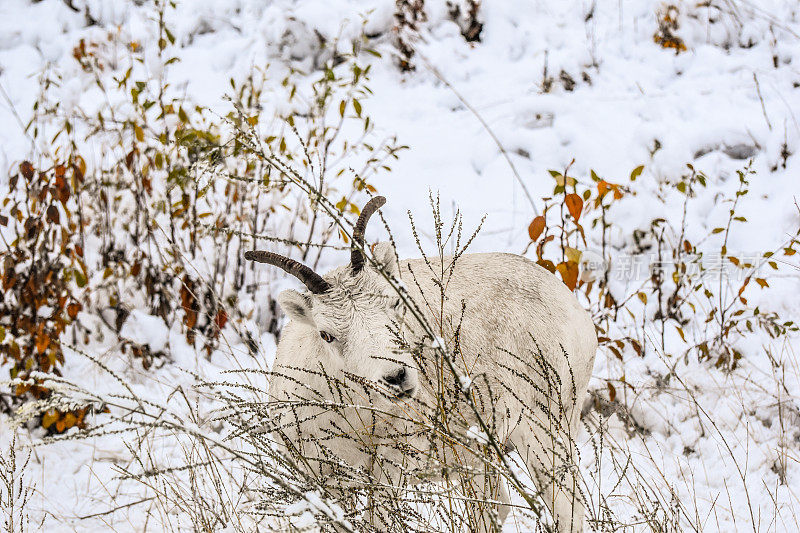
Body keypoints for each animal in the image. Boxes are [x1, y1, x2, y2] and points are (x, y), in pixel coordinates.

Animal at [247, 196, 596, 532]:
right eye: (327, 334)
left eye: (395, 304)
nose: (397, 377)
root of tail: (572, 307)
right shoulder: (323, 482)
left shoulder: (390, 472)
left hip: (543, 432)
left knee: (567, 509)